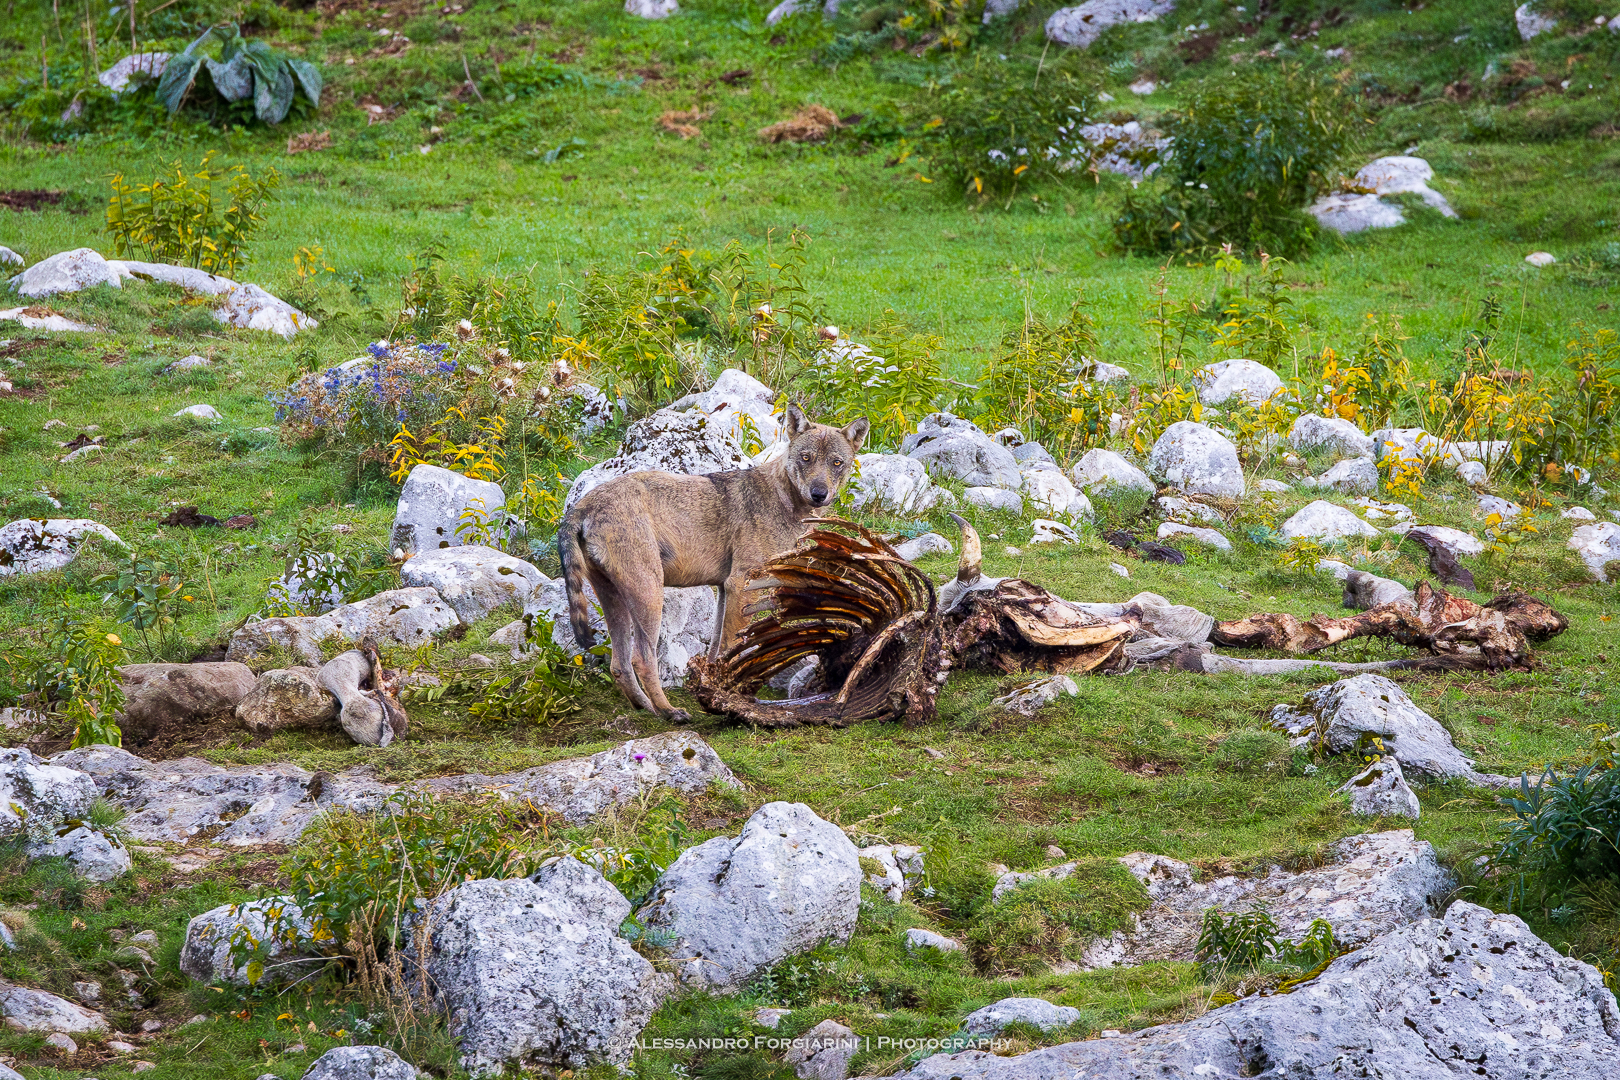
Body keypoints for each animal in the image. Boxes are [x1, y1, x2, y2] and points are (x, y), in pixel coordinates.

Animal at [559, 404, 869, 720]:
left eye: (836, 462)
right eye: (806, 458)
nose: (819, 494)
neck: (785, 501)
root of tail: (582, 505)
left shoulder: (724, 588)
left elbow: (716, 650)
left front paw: (715, 693)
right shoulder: (740, 584)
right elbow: (732, 646)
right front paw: (729, 696)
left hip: (616, 599)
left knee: (618, 665)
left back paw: (647, 708)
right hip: (650, 594)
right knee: (640, 660)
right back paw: (669, 712)